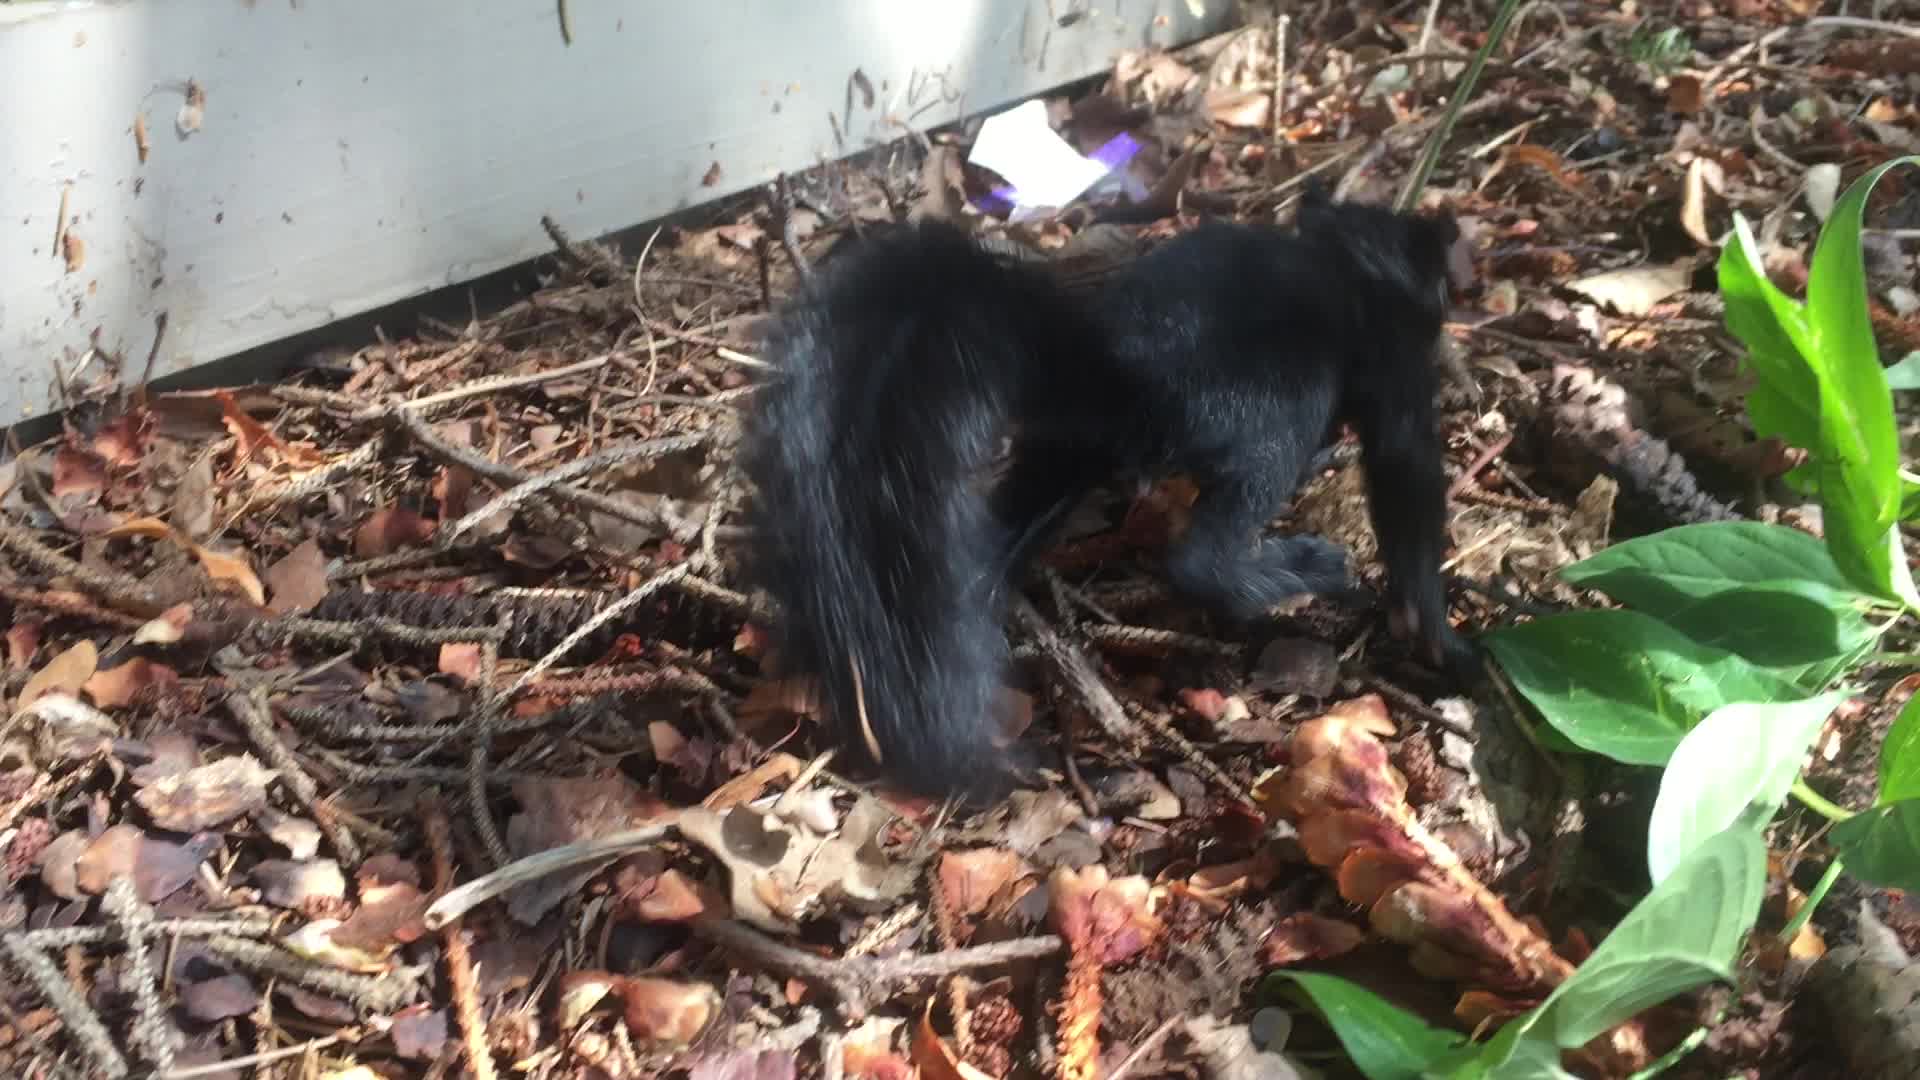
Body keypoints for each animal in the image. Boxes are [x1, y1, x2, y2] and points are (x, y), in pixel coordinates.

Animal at [737, 188, 1473, 799]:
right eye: (1437, 273)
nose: (1456, 289)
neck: (1350, 259)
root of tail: (1115, 364)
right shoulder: (1395, 365)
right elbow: (1407, 473)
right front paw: (1441, 635)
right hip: (1272, 414)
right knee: (1203, 555)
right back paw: (1299, 570)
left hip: (1063, 451)